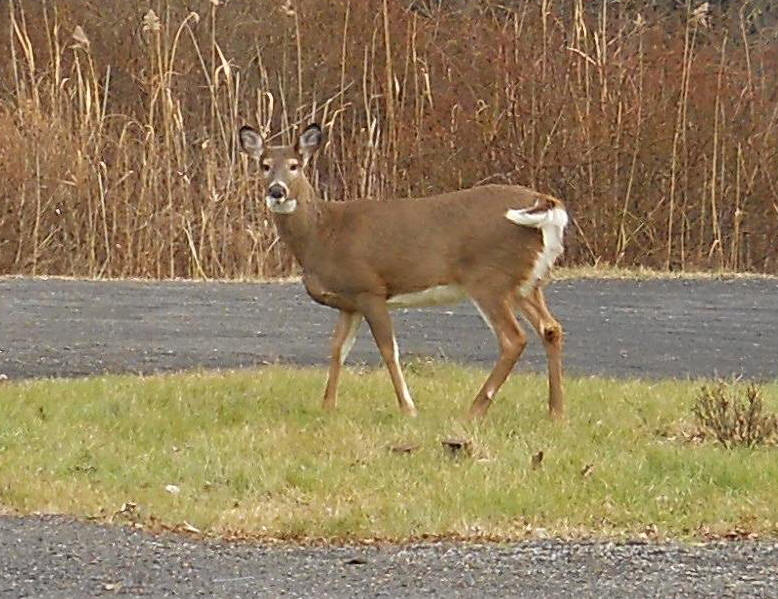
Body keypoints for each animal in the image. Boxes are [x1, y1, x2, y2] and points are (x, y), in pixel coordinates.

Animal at [239, 123, 568, 420]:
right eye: (264, 165)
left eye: (294, 166)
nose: (277, 191)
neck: (323, 234)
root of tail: (548, 204)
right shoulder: (349, 303)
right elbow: (337, 349)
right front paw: (328, 406)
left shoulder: (370, 288)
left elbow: (389, 350)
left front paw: (408, 409)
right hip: (527, 283)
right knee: (550, 329)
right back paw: (555, 411)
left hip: (489, 279)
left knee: (513, 339)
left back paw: (474, 410)